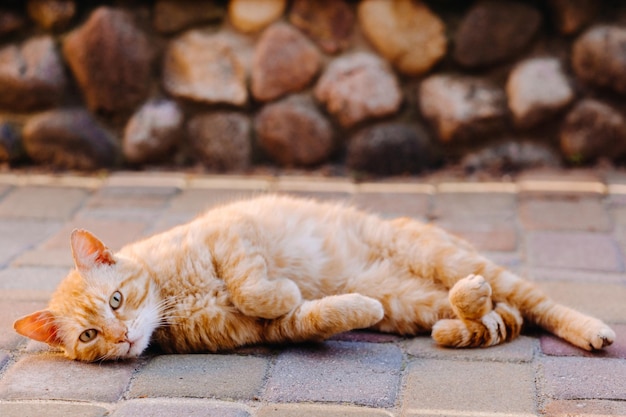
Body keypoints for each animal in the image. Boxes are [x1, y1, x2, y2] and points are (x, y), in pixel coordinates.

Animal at [13, 193, 608, 360]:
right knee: (490, 314)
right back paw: (467, 306)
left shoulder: (232, 233)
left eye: (116, 300)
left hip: (445, 257)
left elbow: (255, 287)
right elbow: (315, 315)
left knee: (535, 304)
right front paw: (354, 306)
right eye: (90, 335)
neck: (175, 300)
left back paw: (591, 331)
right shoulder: (267, 333)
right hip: (417, 304)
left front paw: (279, 287)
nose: (121, 338)